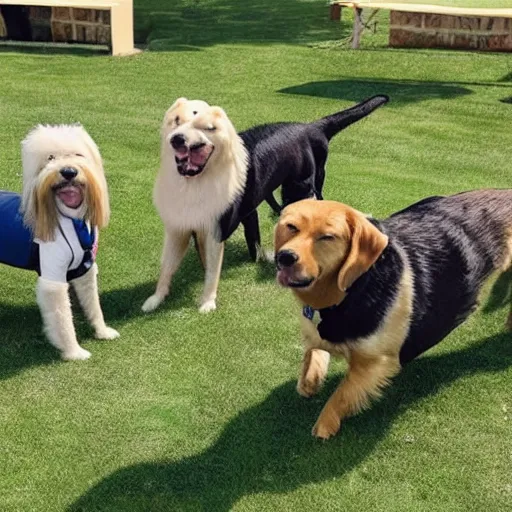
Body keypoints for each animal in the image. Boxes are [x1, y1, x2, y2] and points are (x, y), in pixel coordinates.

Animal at [0, 124, 119, 360]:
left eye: (78, 155)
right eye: (50, 158)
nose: (68, 172)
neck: (72, 220)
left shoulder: (85, 270)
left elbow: (94, 305)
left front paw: (102, 331)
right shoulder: (53, 278)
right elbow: (63, 319)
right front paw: (74, 352)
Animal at [141, 96, 247, 312]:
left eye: (207, 127)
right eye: (177, 120)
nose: (177, 139)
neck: (192, 184)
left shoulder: (215, 233)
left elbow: (212, 272)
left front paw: (208, 302)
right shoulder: (177, 230)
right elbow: (166, 268)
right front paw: (156, 298)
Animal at [274, 192, 512, 440]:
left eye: (327, 237)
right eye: (291, 227)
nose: (285, 257)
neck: (352, 289)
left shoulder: (377, 363)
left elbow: (342, 393)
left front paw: (324, 425)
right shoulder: (316, 331)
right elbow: (312, 354)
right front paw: (309, 382)